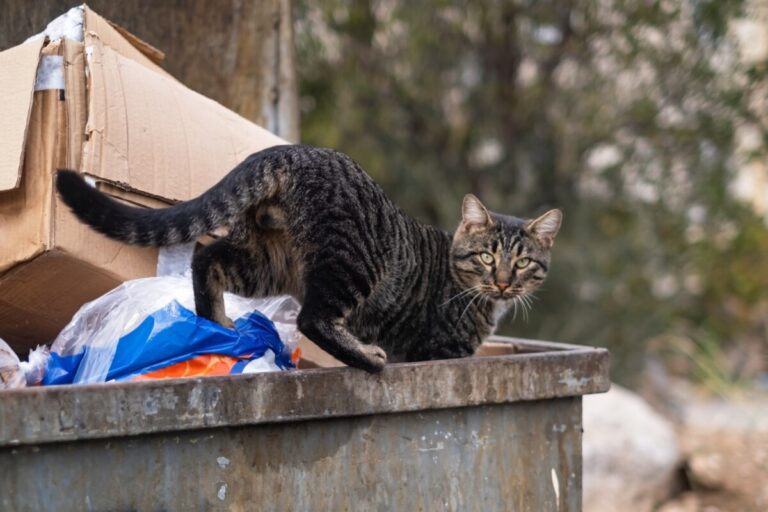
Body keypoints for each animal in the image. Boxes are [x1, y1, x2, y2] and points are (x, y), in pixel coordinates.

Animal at [55, 144, 560, 372]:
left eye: (522, 263)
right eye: (488, 257)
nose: (503, 282)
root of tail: (290, 151)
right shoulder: (440, 351)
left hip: (265, 261)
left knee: (206, 256)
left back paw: (217, 324)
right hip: (351, 263)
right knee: (314, 319)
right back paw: (366, 358)